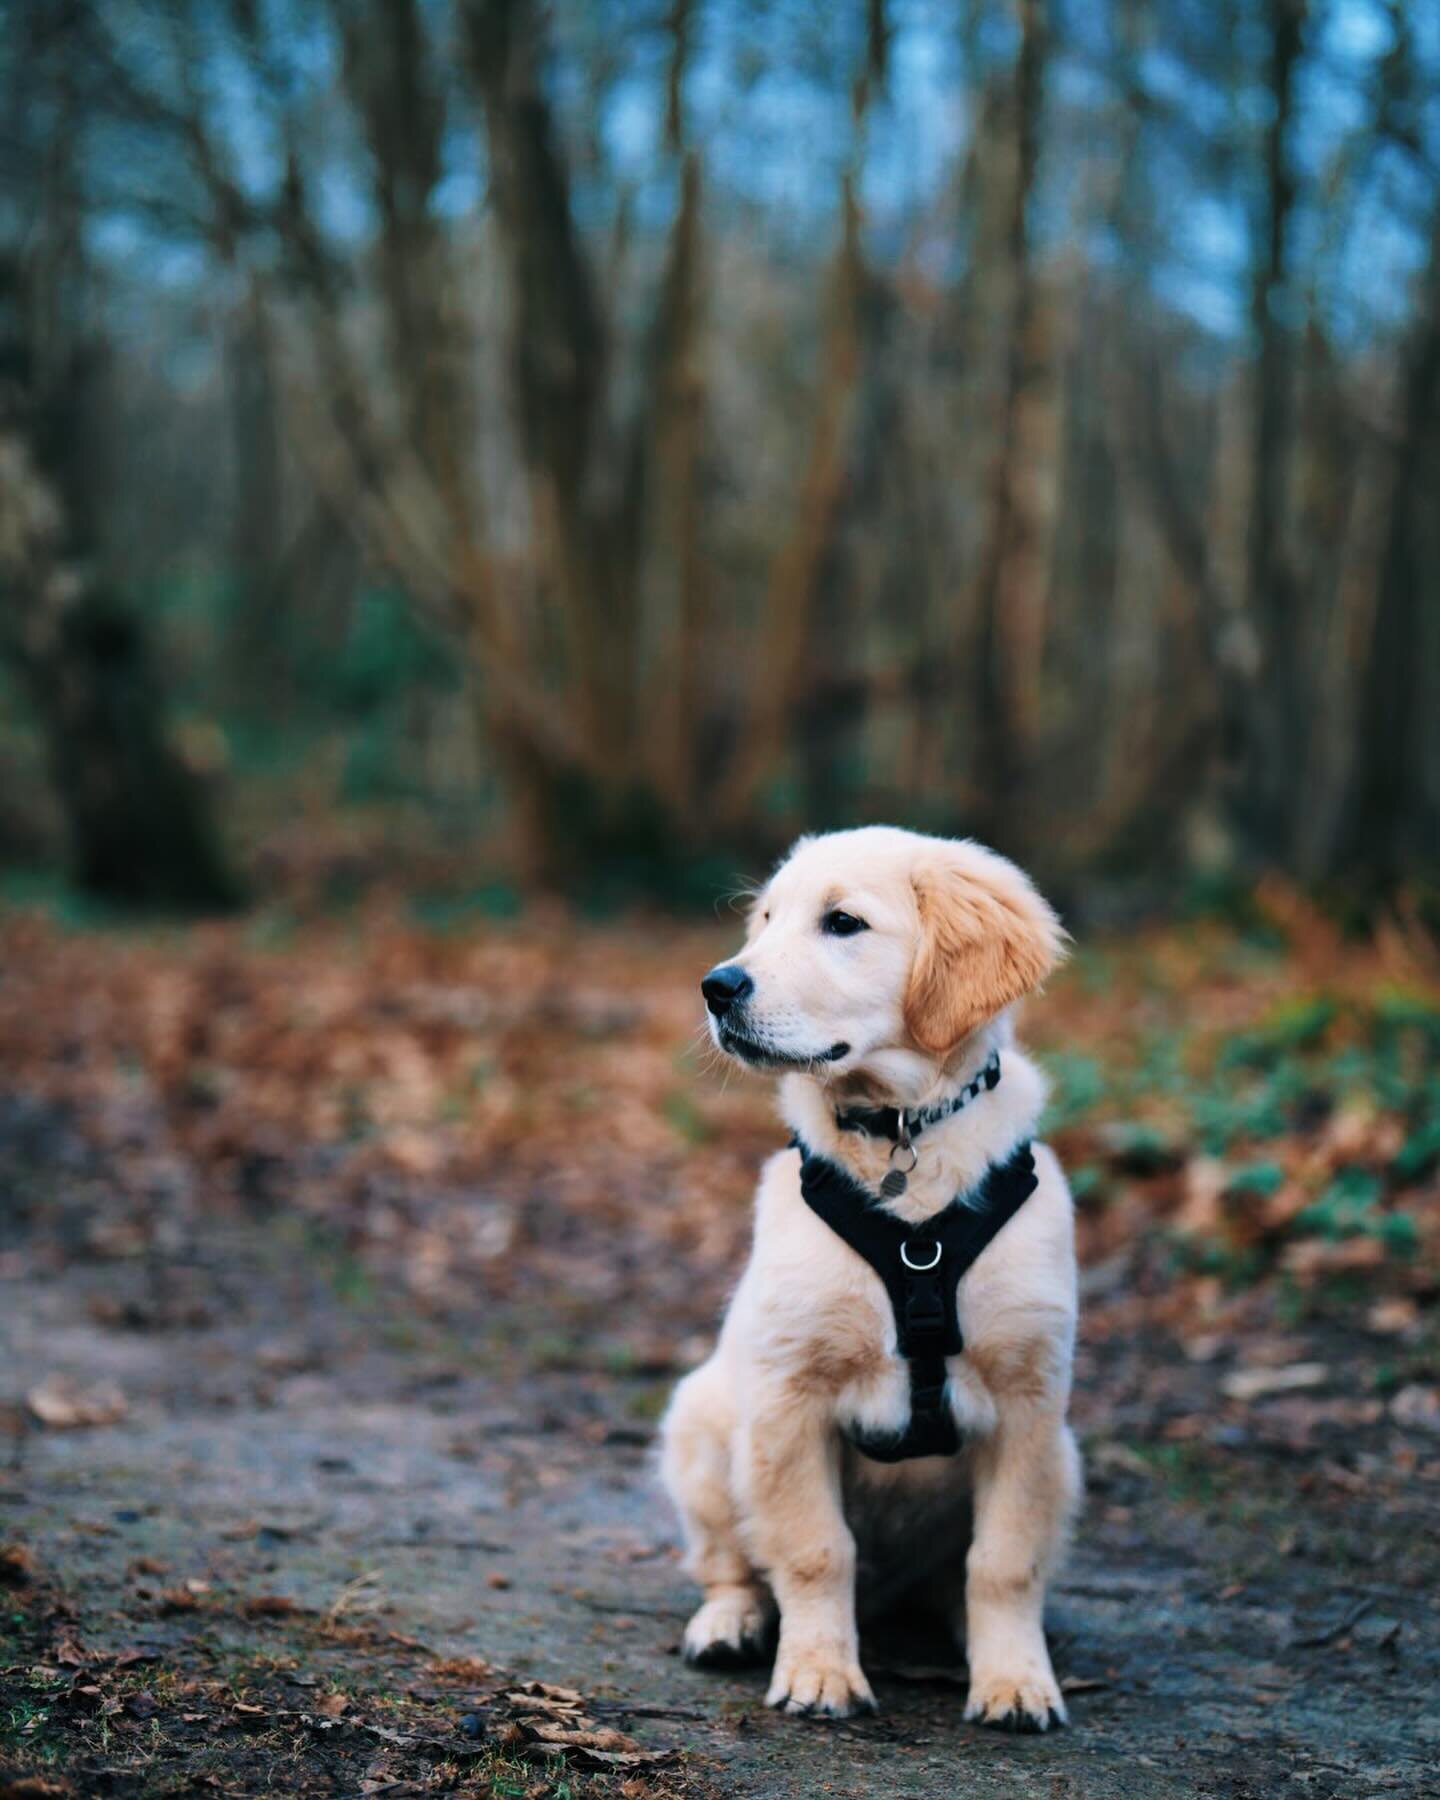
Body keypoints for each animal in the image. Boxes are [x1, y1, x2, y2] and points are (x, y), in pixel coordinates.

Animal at [658, 824, 1072, 1728]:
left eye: (842, 923)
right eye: (765, 921)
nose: (715, 986)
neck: (899, 1136)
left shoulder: (1029, 1406)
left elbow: (1005, 1560)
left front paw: (1015, 1680)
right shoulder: (789, 1399)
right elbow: (817, 1551)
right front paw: (819, 1674)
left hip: (1070, 1459)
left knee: (958, 1575)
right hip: (702, 1428)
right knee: (732, 1562)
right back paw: (730, 1623)